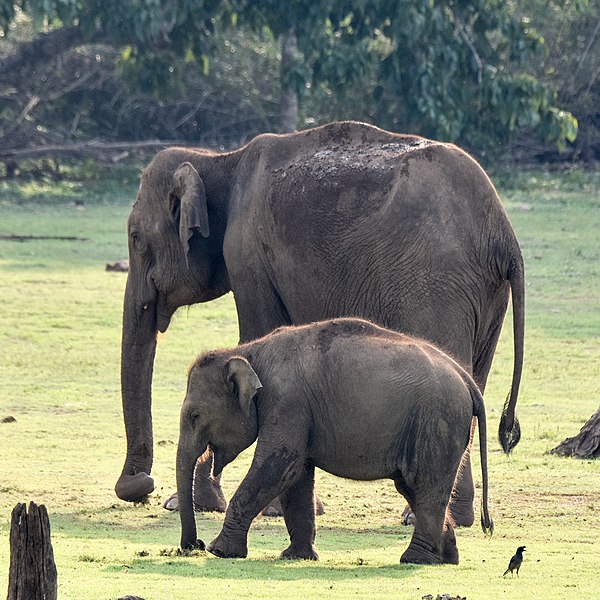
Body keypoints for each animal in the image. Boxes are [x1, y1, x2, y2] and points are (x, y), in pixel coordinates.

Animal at [116, 120, 520, 524]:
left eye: (136, 238)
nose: (139, 487)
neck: (220, 160)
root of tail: (504, 235)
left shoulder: (248, 254)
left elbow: (257, 333)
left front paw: (259, 508)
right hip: (484, 295)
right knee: (475, 378)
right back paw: (457, 517)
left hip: (438, 285)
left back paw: (419, 516)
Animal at [175, 316, 492, 564]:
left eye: (194, 416)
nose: (194, 545)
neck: (249, 352)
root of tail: (467, 380)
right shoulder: (297, 410)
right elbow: (297, 475)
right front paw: (297, 557)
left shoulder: (287, 401)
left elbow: (279, 466)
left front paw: (220, 551)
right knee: (415, 487)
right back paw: (446, 557)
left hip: (437, 421)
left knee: (423, 485)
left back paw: (415, 559)